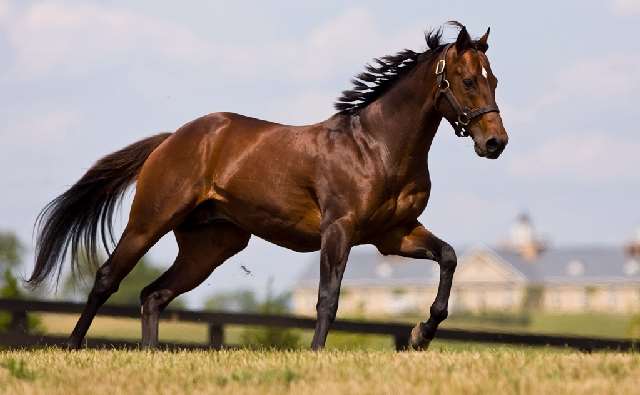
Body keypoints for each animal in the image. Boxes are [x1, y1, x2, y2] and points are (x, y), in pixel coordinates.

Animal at [28, 21, 510, 350]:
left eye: (495, 80)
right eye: (469, 80)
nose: (495, 143)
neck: (376, 147)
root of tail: (172, 139)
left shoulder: (394, 234)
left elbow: (448, 257)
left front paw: (420, 335)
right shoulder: (340, 230)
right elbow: (328, 297)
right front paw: (317, 353)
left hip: (212, 245)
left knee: (153, 294)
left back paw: (149, 355)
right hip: (150, 221)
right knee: (108, 278)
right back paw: (72, 347)